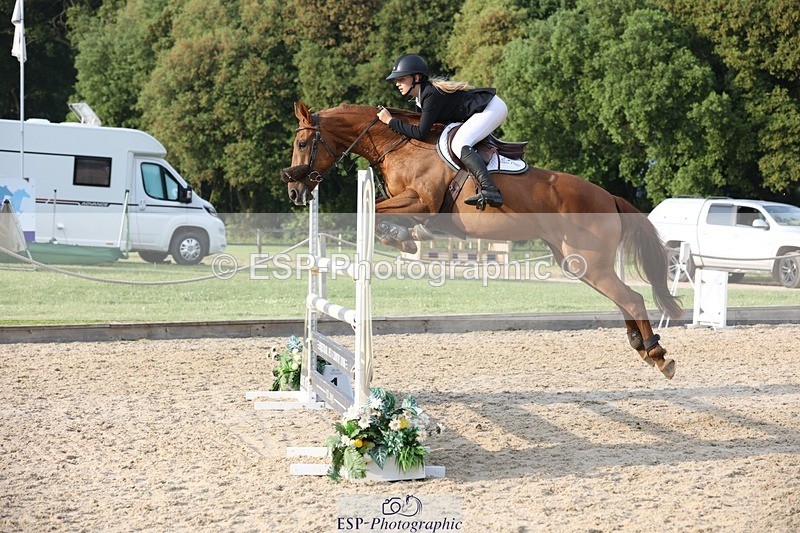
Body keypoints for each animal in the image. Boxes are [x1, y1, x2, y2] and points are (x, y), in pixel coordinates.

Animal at [282, 101, 683, 379]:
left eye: (302, 141)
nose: (295, 193)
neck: (399, 145)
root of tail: (608, 197)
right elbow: (386, 217)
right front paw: (407, 239)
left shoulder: (423, 201)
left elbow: (378, 213)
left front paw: (405, 239)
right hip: (577, 262)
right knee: (624, 299)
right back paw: (643, 347)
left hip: (588, 261)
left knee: (632, 298)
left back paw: (657, 354)